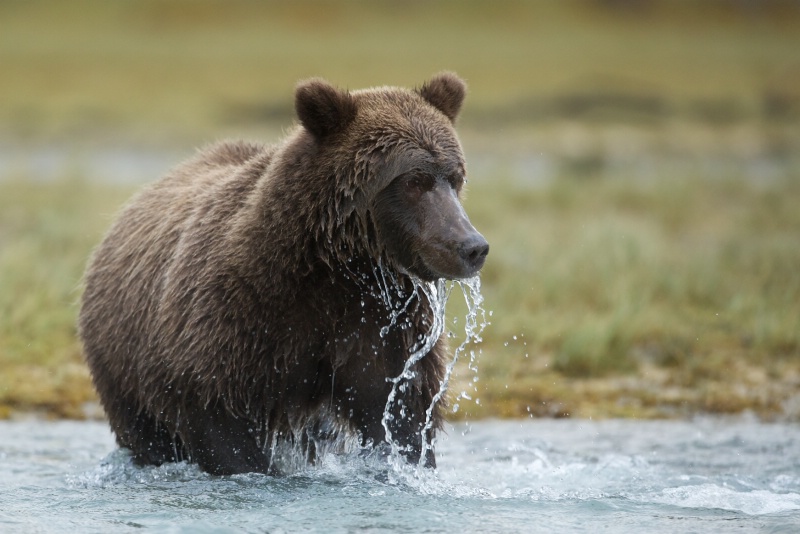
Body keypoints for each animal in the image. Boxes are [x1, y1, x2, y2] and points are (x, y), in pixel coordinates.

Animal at [78, 72, 488, 478]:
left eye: (455, 177)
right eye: (414, 181)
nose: (472, 247)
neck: (342, 266)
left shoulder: (384, 326)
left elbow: (402, 413)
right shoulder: (238, 318)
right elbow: (220, 420)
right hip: (124, 371)